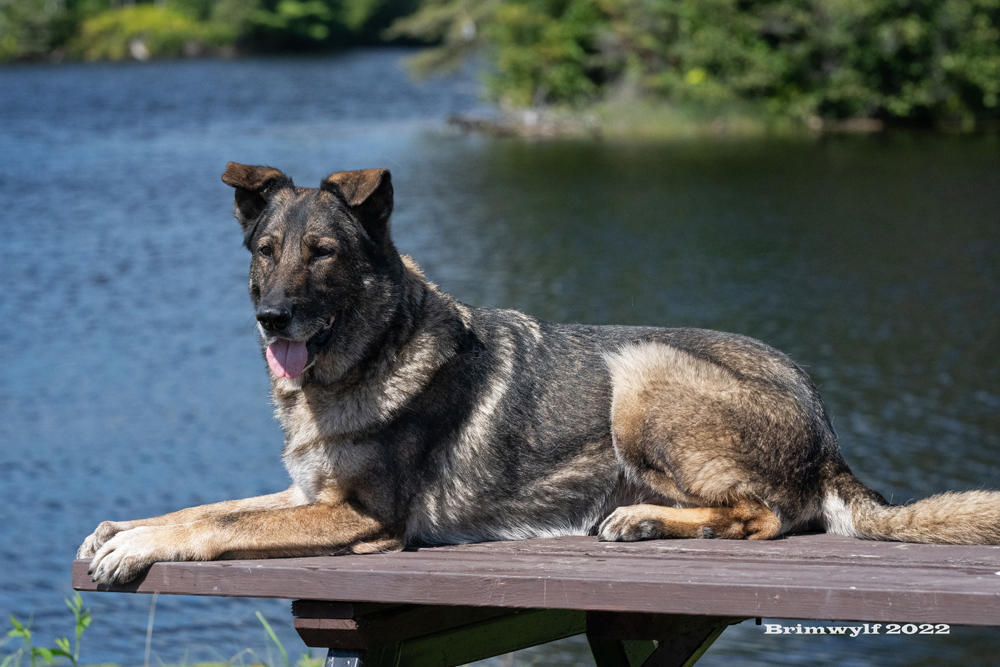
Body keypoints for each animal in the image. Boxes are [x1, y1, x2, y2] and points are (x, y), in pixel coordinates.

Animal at [79, 162, 1000, 585]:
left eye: (325, 254)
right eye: (266, 252)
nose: (271, 317)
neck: (371, 355)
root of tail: (825, 427)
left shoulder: (362, 518)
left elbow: (218, 526)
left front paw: (139, 544)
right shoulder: (310, 493)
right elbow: (209, 505)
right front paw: (124, 526)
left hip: (641, 370)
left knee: (764, 516)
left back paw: (642, 520)